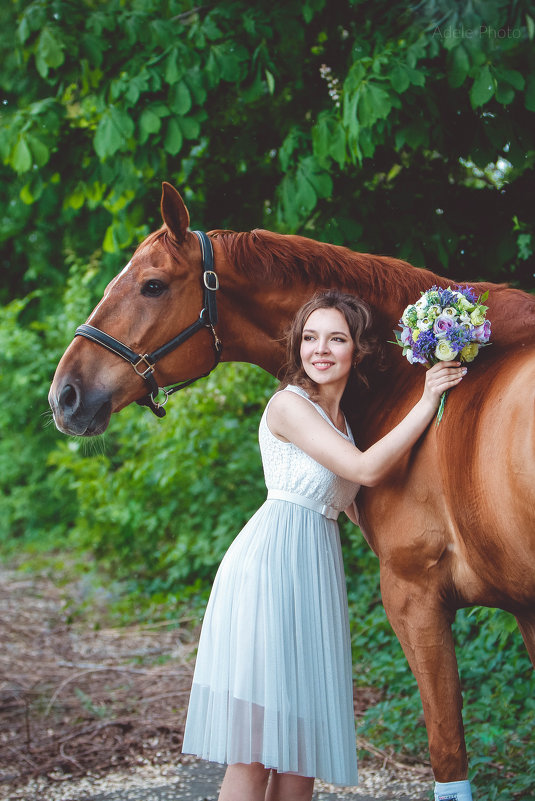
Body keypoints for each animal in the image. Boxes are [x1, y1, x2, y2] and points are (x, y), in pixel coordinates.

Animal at [48, 183, 532, 788]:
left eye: (152, 285)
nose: (64, 395)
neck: (406, 374)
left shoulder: (415, 595)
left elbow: (448, 754)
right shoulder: (519, 608)